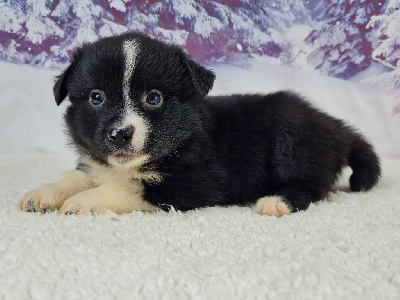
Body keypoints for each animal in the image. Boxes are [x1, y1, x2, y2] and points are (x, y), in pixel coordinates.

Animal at [19, 31, 382, 217]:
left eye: (154, 98)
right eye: (96, 97)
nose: (120, 134)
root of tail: (334, 125)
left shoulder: (197, 181)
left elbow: (131, 188)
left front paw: (81, 202)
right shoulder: (98, 164)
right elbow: (78, 175)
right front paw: (43, 195)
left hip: (294, 139)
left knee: (312, 185)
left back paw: (276, 201)